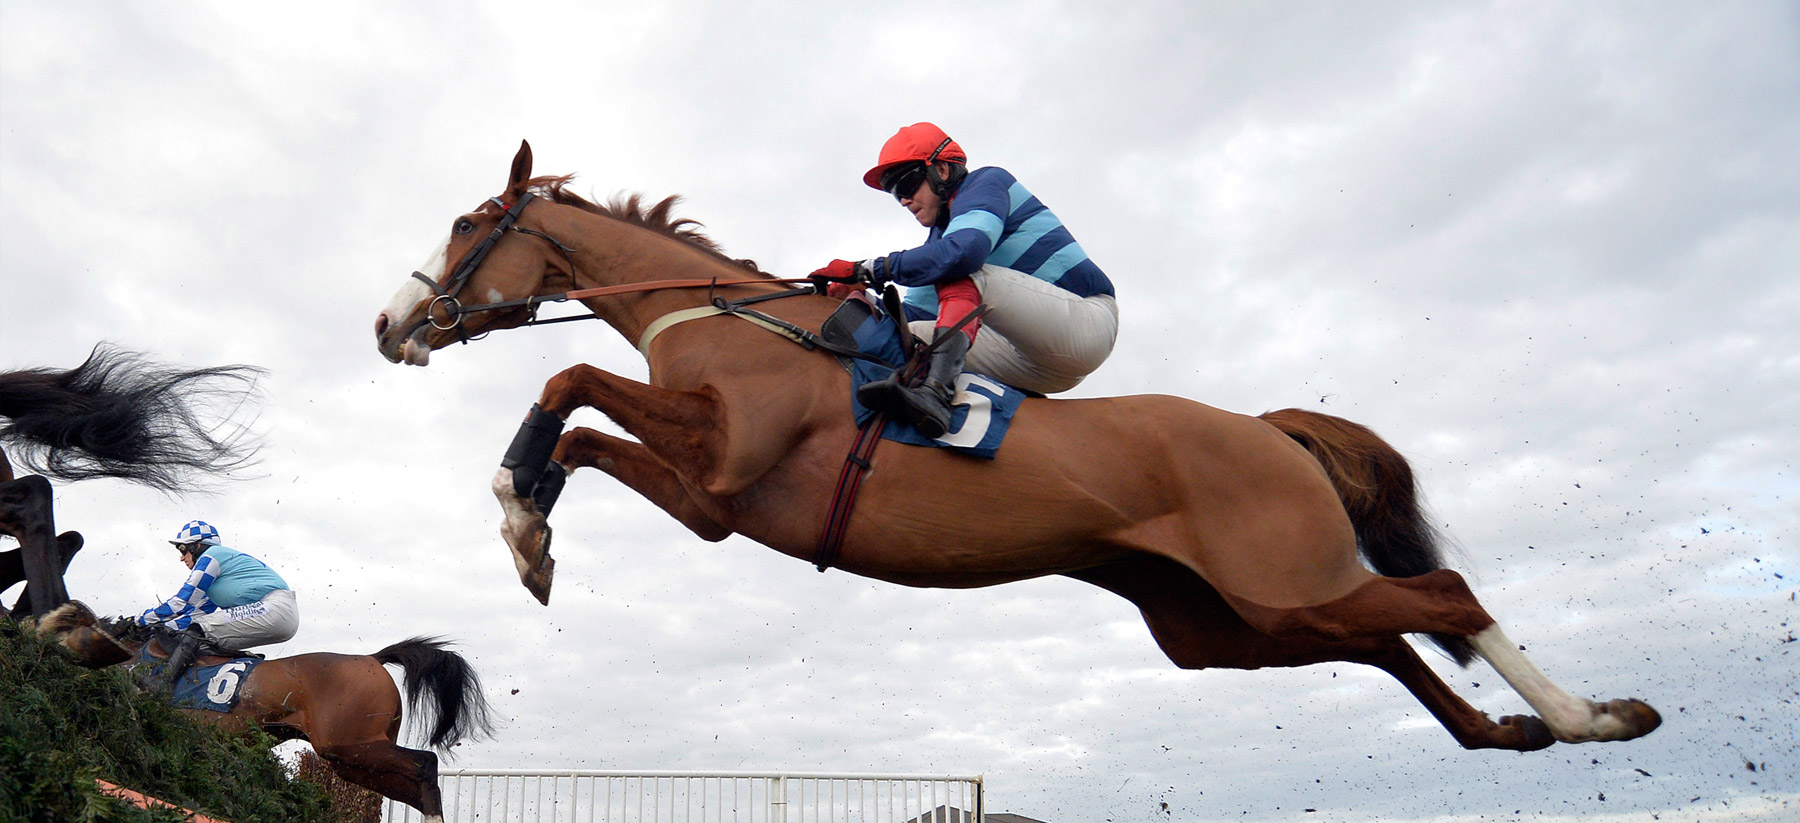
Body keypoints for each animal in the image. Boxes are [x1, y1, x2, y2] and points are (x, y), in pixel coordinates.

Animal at [40, 597, 493, 821]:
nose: (39, 635)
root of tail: (372, 659)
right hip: (351, 760)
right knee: (411, 783)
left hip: (350, 746)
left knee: (424, 764)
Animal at [372, 139, 1663, 749]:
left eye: (470, 221)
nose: (389, 322)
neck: (730, 320)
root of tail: (1265, 431)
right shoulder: (709, 492)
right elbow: (580, 410)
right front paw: (530, 516)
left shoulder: (723, 478)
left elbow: (572, 380)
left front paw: (523, 516)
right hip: (1232, 625)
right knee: (1392, 640)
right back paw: (1506, 730)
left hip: (1274, 581)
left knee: (1443, 597)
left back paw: (1590, 716)